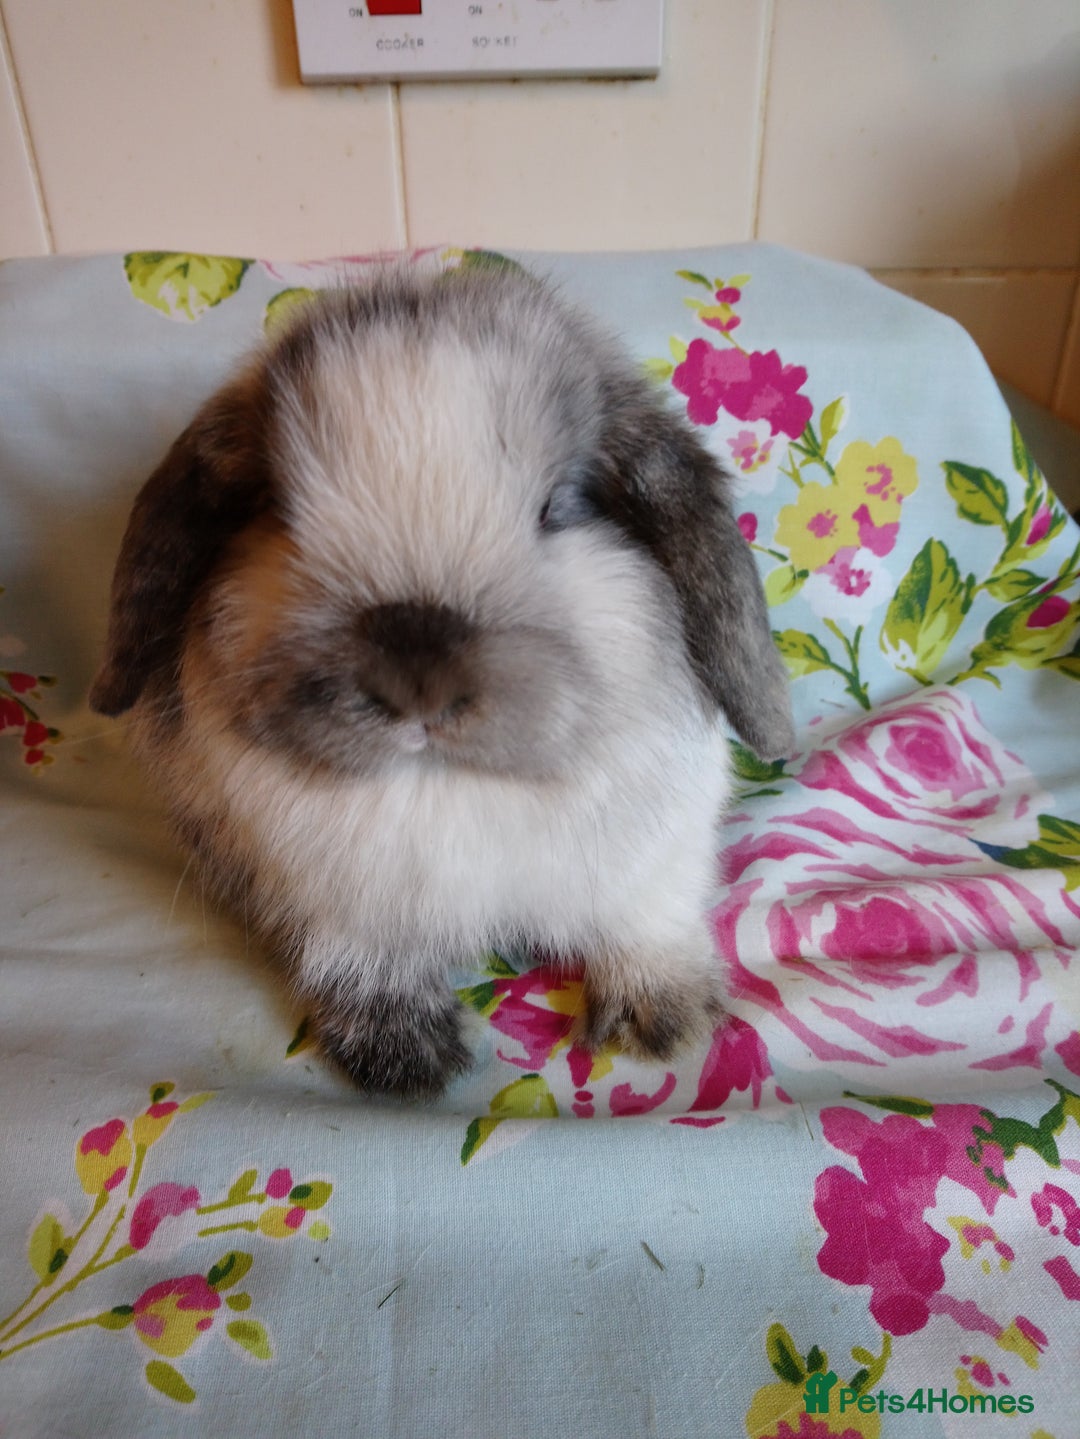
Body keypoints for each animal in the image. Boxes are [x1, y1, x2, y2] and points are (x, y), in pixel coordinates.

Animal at [91, 262, 795, 1100]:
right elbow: (365, 962)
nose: (416, 680)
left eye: (555, 507)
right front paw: (403, 1056)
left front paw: (661, 1020)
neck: (445, 782)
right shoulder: (339, 907)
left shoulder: (658, 855)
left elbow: (646, 920)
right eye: (282, 512)